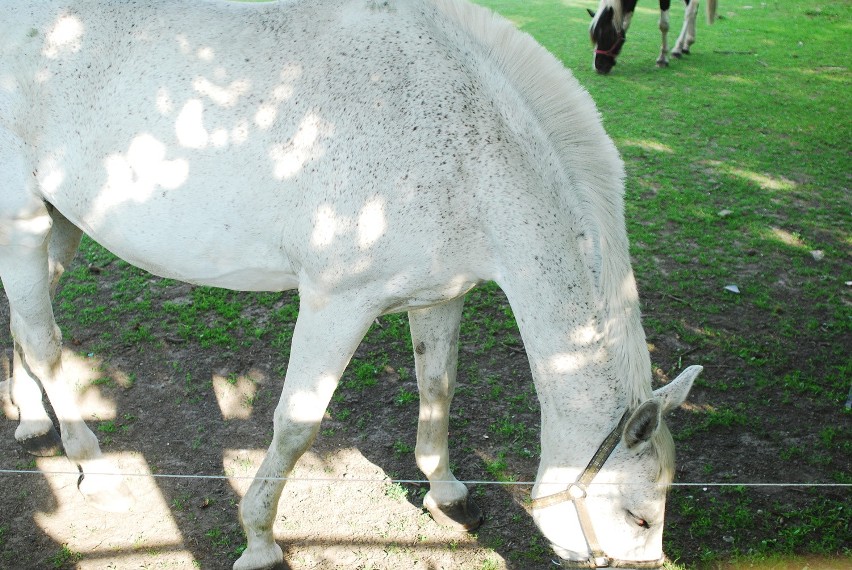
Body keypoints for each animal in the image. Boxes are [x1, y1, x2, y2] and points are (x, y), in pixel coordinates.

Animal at [1, 0, 700, 564]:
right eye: (638, 516)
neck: (469, 151)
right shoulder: (336, 303)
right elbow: (296, 424)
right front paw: (259, 542)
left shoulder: (441, 297)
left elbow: (437, 388)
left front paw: (447, 493)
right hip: (24, 223)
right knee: (44, 342)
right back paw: (95, 469)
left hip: (61, 224)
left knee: (24, 324)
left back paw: (34, 423)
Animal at [592, 0, 720, 72]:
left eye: (607, 35)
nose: (598, 66)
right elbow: (626, 21)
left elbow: (664, 25)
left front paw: (662, 59)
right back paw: (685, 45)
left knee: (691, 9)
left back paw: (678, 48)